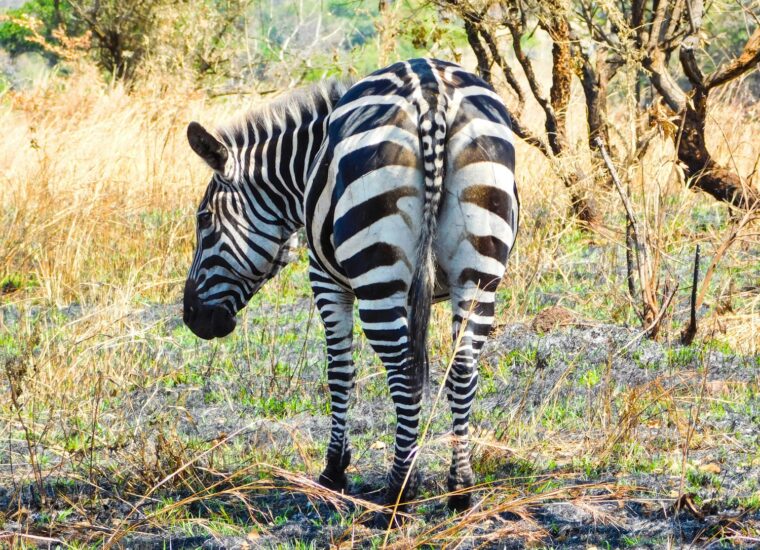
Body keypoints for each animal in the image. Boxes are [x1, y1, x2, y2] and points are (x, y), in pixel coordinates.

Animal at [182, 58, 519, 517]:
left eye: (204, 221)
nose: (191, 318)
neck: (305, 165)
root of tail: (431, 93)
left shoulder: (325, 280)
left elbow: (339, 371)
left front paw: (334, 470)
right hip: (480, 265)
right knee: (463, 368)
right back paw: (460, 490)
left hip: (376, 267)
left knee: (403, 371)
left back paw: (397, 494)